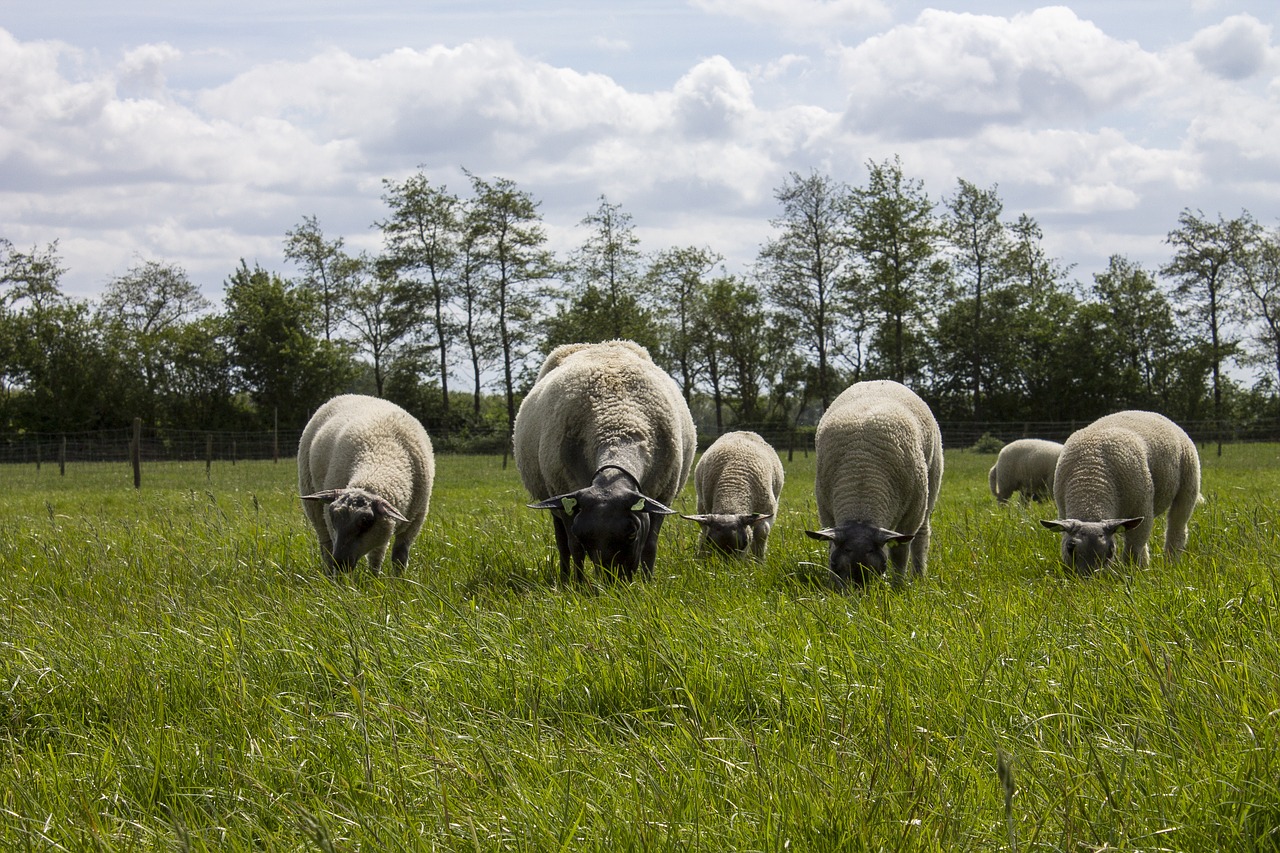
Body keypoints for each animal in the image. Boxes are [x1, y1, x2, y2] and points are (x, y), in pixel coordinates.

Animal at [298, 394, 435, 573]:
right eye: (333, 517)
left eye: (366, 521)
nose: (340, 563)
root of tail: (347, 395)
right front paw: (342, 581)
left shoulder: (411, 523)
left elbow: (395, 557)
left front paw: (390, 580)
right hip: (314, 506)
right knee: (326, 546)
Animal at [512, 338, 701, 578]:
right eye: (583, 534)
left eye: (632, 533)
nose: (613, 583)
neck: (616, 426)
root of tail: (596, 343)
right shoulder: (565, 498)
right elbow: (575, 548)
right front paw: (579, 584)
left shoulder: (662, 497)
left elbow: (650, 547)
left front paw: (648, 582)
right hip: (553, 499)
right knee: (563, 545)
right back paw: (564, 580)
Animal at [680, 427, 778, 560]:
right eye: (710, 541)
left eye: (745, 543)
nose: (728, 566)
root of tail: (741, 431)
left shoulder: (766, 512)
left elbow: (761, 534)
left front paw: (759, 561)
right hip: (701, 505)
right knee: (703, 529)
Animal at [803, 379, 947, 589]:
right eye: (835, 566)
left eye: (881, 567)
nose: (858, 594)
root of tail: (877, 380)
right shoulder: (826, 513)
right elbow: (830, 547)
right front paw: (834, 586)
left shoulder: (909, 518)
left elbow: (900, 553)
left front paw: (898, 586)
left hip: (930, 488)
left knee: (921, 536)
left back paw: (919, 576)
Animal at [1039, 409, 1198, 573]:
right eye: (1070, 548)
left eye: (1110, 551)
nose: (1091, 577)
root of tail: (1146, 411)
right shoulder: (1063, 511)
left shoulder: (1142, 509)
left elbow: (1134, 548)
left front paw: (1134, 572)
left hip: (1188, 485)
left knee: (1177, 529)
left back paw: (1171, 562)